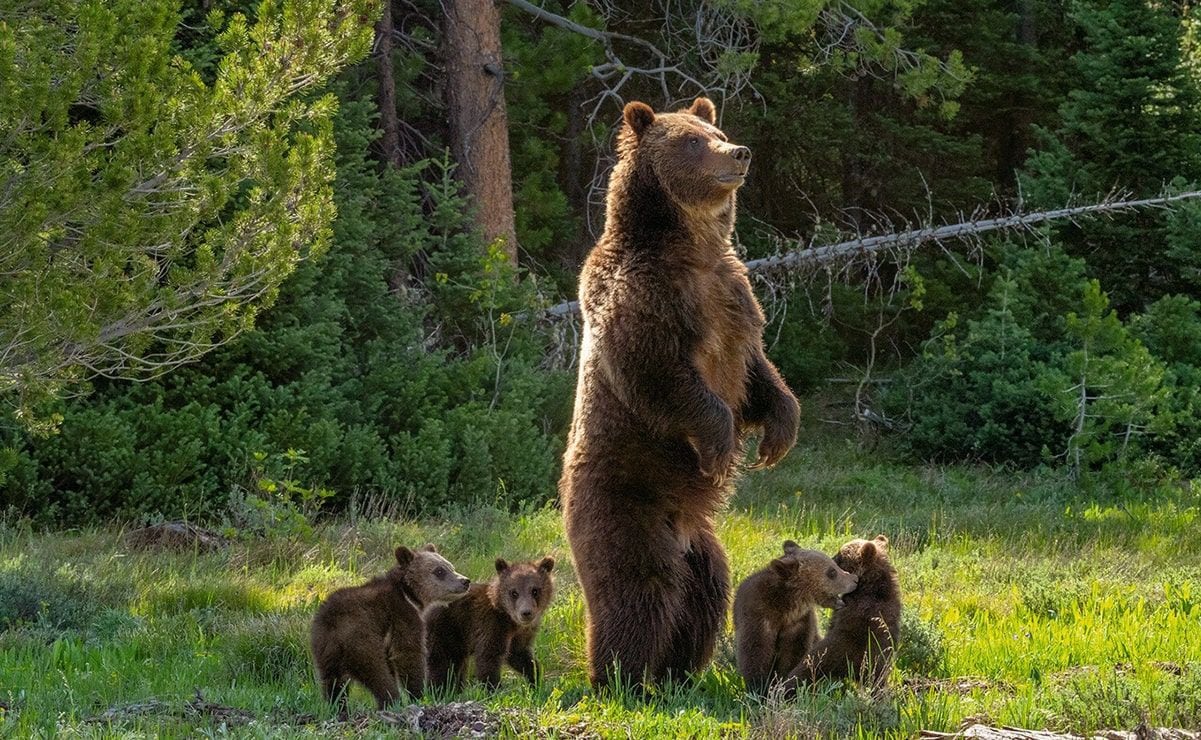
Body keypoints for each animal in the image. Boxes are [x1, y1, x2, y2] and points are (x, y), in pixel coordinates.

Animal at [309, 545, 468, 715]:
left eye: (450, 566)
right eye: (439, 571)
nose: (465, 581)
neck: (409, 594)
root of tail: (334, 627)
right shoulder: (401, 616)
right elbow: (408, 654)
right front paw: (418, 694)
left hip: (324, 649)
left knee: (332, 683)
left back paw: (339, 708)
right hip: (361, 640)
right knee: (378, 675)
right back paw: (391, 701)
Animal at [425, 557, 554, 691]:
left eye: (535, 590)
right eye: (514, 592)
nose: (526, 613)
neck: (509, 620)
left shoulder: (520, 635)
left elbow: (520, 655)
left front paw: (536, 681)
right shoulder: (489, 625)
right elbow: (488, 658)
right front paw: (495, 689)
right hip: (442, 631)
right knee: (441, 664)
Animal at [557, 96, 802, 687]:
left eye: (717, 130)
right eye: (692, 142)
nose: (739, 152)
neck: (691, 247)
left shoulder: (734, 296)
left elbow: (758, 373)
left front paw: (777, 435)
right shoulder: (645, 297)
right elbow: (662, 374)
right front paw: (720, 446)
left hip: (702, 544)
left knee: (705, 590)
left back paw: (680, 670)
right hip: (624, 502)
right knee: (639, 588)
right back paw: (621, 676)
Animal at [735, 538, 859, 691]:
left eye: (834, 564)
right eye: (832, 572)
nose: (855, 579)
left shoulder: (799, 623)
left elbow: (793, 655)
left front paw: (782, 682)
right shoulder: (758, 617)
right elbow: (755, 654)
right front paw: (760, 687)